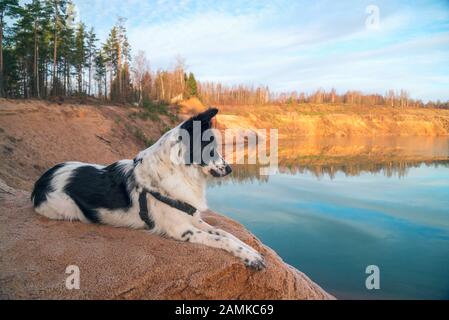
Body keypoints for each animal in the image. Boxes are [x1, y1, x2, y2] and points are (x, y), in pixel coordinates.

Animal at [33, 108, 268, 270]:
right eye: (210, 149)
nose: (229, 169)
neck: (179, 171)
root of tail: (43, 178)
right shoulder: (183, 230)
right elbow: (221, 239)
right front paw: (251, 257)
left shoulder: (194, 218)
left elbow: (225, 233)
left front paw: (251, 251)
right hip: (66, 208)